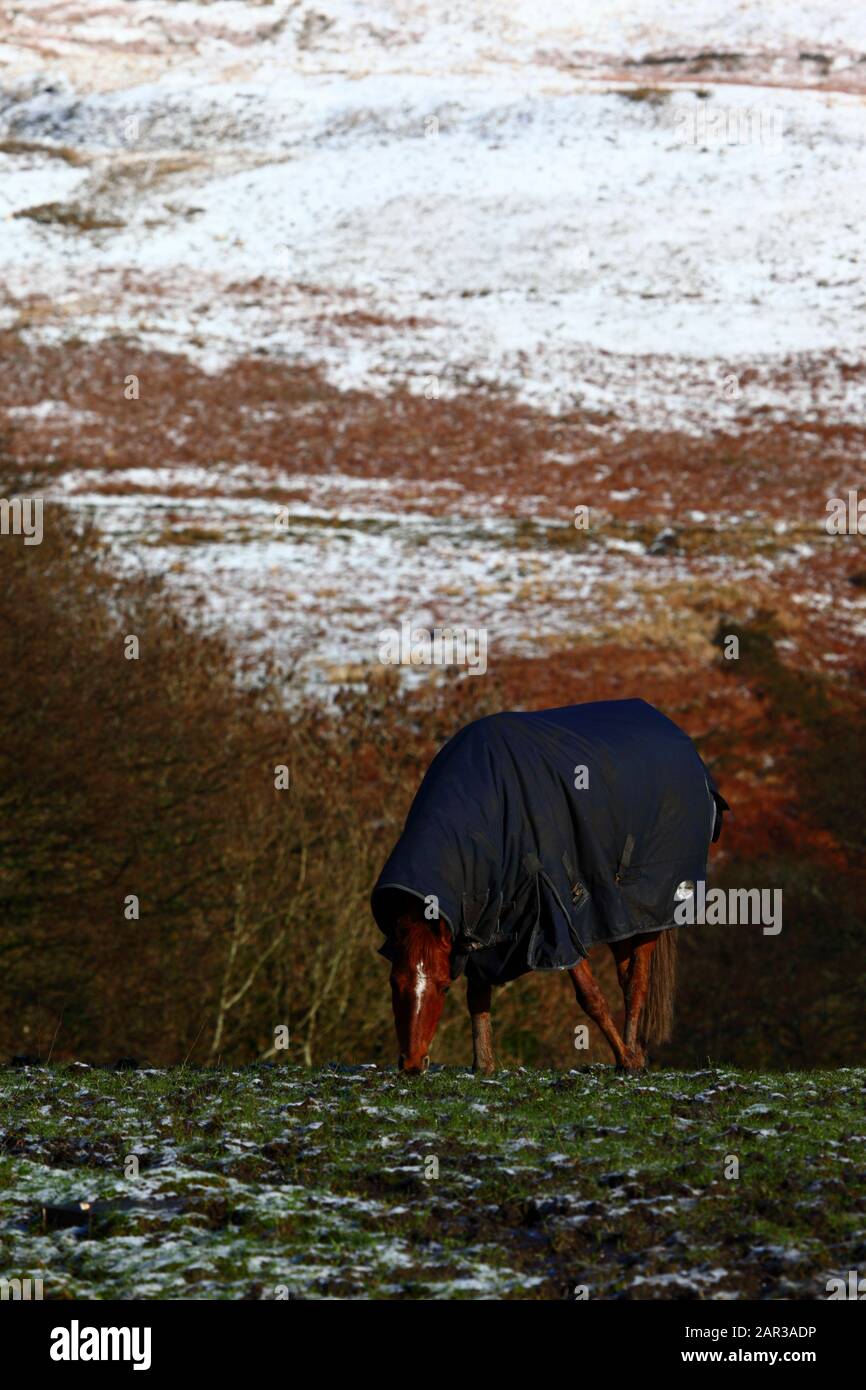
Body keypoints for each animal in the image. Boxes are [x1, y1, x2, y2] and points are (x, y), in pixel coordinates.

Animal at [389, 906, 678, 1078]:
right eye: (393, 983)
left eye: (445, 987)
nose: (412, 1064)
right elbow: (478, 996)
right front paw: (483, 1065)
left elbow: (590, 995)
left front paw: (625, 1061)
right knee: (628, 976)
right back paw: (636, 1052)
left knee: (636, 983)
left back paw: (631, 1057)